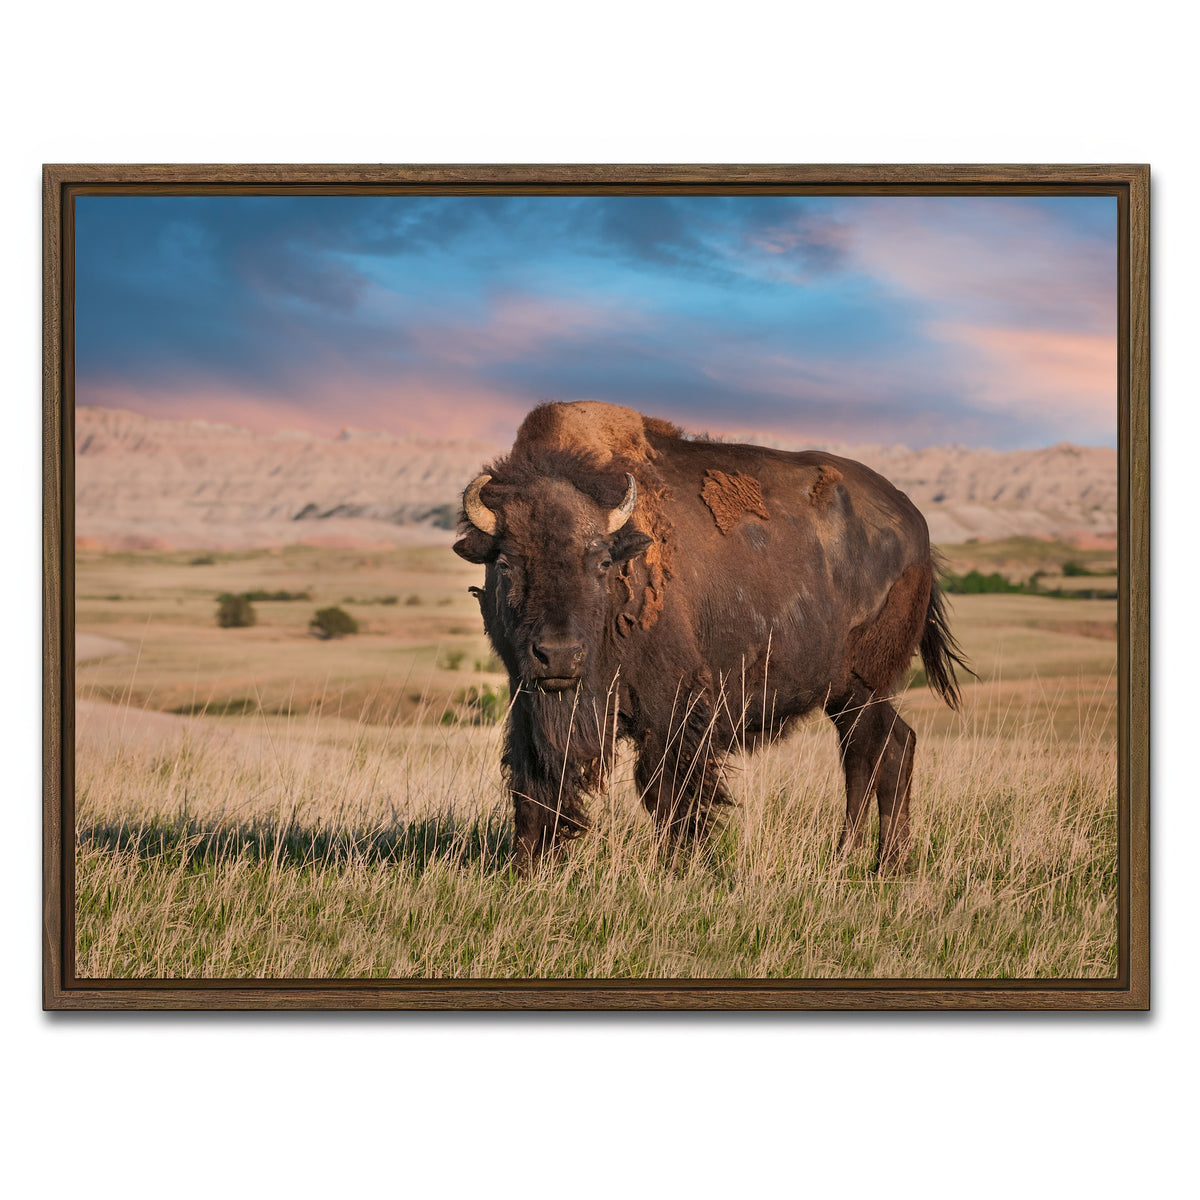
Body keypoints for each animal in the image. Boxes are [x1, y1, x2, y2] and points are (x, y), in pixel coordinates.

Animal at [453, 401, 969, 874]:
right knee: (888, 749)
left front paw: (681, 864)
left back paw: (874, 862)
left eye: (601, 562)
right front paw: (528, 867)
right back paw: (870, 861)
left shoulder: (671, 704)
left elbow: (667, 788)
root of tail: (918, 528)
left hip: (864, 688)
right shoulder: (526, 698)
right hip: (849, 695)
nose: (558, 655)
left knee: (872, 754)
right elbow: (533, 780)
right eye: (506, 563)